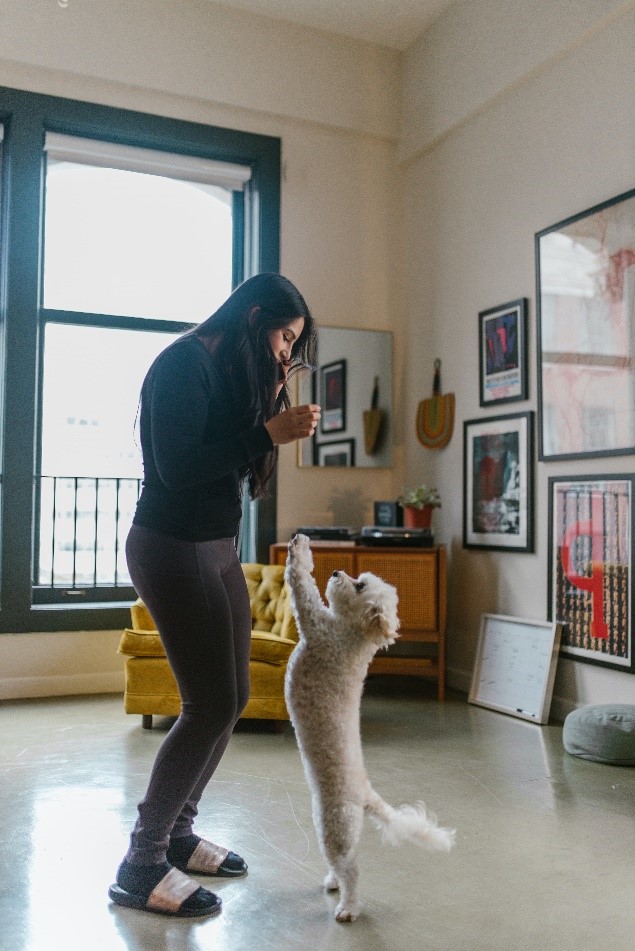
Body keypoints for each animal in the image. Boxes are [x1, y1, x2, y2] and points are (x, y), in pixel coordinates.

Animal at [284, 536, 458, 924]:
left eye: (360, 585)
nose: (336, 571)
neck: (354, 634)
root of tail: (365, 795)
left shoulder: (317, 627)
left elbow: (303, 590)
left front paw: (300, 553)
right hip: (326, 823)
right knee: (341, 866)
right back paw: (333, 882)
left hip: (336, 827)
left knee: (352, 870)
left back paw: (349, 907)